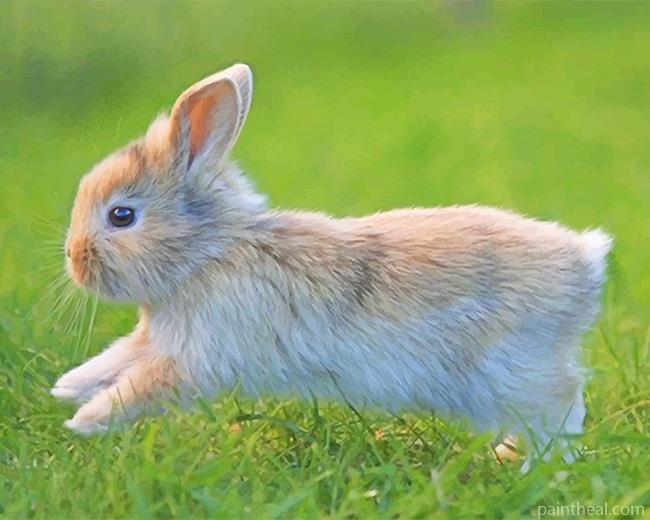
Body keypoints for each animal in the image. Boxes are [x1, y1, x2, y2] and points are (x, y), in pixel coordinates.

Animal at [52, 63, 612, 466]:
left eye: (121, 215)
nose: (74, 259)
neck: (209, 253)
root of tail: (586, 263)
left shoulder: (194, 359)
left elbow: (139, 387)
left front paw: (83, 422)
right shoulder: (157, 339)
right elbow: (115, 360)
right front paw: (66, 389)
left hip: (515, 374)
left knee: (561, 407)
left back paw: (528, 467)